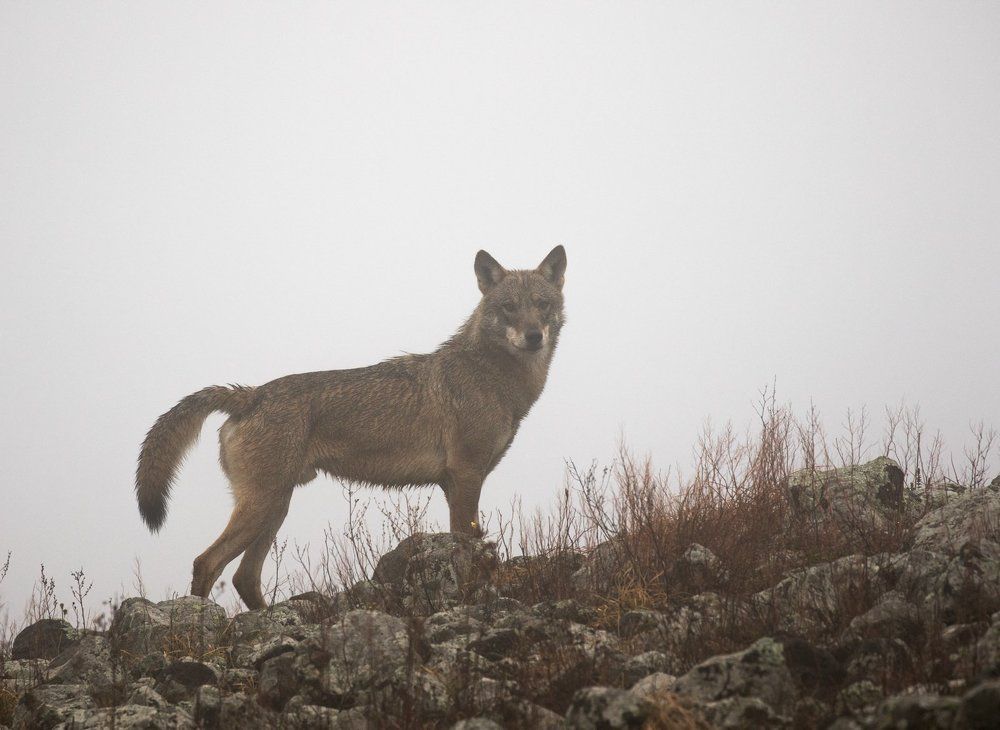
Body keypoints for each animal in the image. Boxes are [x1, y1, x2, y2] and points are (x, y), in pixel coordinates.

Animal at [135, 246, 567, 608]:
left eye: (542, 304)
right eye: (509, 307)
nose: (533, 336)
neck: (494, 378)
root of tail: (251, 394)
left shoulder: (457, 481)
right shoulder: (465, 476)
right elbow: (466, 544)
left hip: (276, 507)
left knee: (244, 576)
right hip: (262, 506)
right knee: (207, 562)